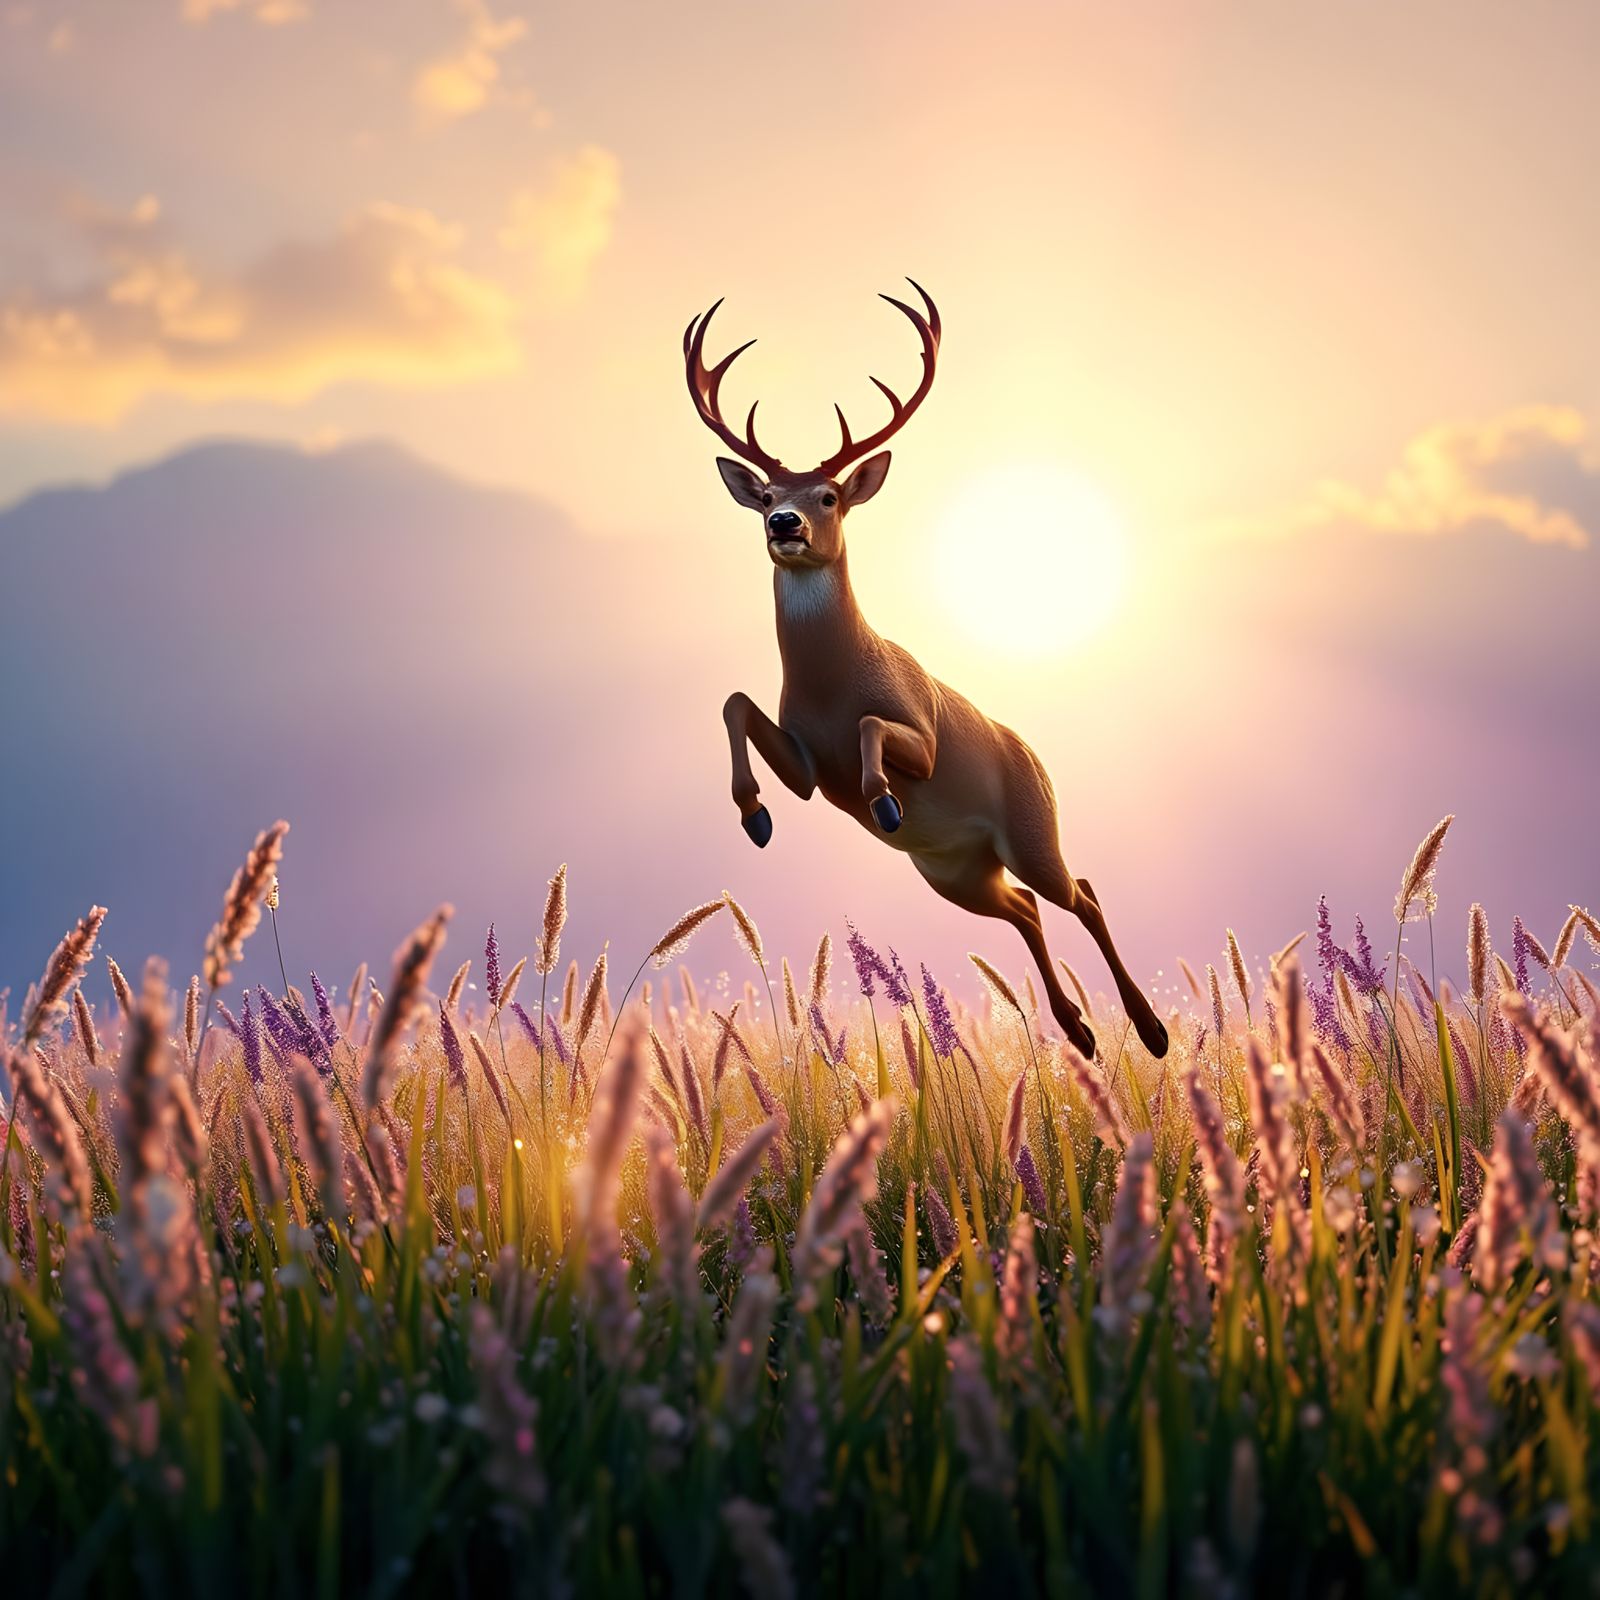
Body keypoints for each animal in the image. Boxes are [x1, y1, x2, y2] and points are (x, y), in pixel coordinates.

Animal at [685, 281, 1169, 1062]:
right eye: (765, 497)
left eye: (828, 496)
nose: (784, 524)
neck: (834, 683)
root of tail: (1037, 760)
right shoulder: (811, 769)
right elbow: (734, 702)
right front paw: (755, 816)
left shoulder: (920, 735)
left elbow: (876, 726)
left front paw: (883, 800)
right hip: (958, 873)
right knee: (1025, 909)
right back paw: (1080, 1032)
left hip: (1030, 835)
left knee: (1082, 892)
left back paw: (1150, 1032)